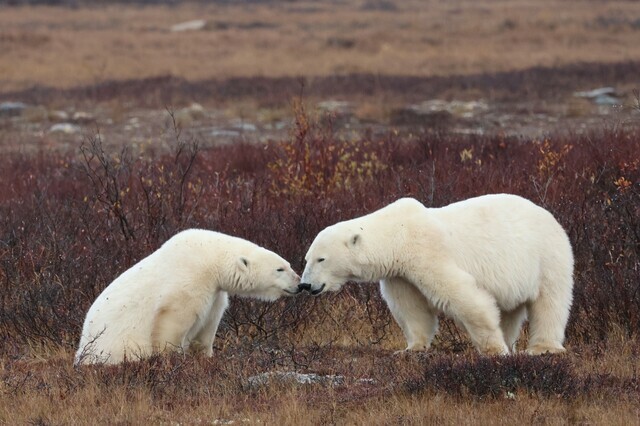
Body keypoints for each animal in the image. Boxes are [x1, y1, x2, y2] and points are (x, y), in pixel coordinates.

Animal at [76, 230, 302, 366]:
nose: (299, 283)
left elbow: (208, 326)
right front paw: (171, 358)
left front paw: (206, 357)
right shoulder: (191, 280)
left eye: (288, 264)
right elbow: (174, 320)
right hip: (117, 343)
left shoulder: (215, 293)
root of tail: (81, 353)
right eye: (280, 269)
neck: (210, 257)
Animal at [300, 195, 576, 354]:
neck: (399, 234)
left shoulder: (427, 252)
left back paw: (543, 347)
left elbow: (462, 295)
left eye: (321, 259)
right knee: (509, 309)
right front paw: (412, 348)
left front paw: (493, 350)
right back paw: (510, 340)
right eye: (306, 259)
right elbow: (411, 308)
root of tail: (552, 217)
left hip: (547, 257)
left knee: (550, 301)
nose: (306, 285)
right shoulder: (400, 273)